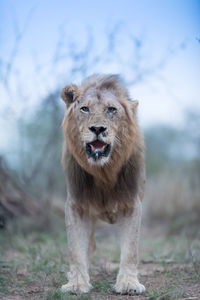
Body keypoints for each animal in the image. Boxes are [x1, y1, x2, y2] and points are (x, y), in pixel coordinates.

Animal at [60, 74, 146, 294]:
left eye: (111, 110)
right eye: (85, 109)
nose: (98, 128)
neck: (103, 172)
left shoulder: (131, 204)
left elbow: (131, 249)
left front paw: (129, 284)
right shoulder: (76, 205)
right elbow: (75, 248)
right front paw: (76, 283)